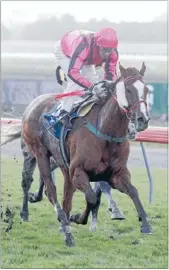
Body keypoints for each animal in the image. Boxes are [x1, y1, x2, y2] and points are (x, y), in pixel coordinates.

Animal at [2, 62, 151, 247]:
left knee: (62, 193)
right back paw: (62, 229)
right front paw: (76, 219)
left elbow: (132, 191)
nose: (142, 119)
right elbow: (92, 198)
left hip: (60, 162)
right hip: (38, 152)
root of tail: (33, 104)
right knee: (45, 187)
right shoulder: (78, 171)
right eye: (128, 90)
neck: (105, 132)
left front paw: (145, 224)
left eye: (146, 90)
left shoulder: (116, 174)